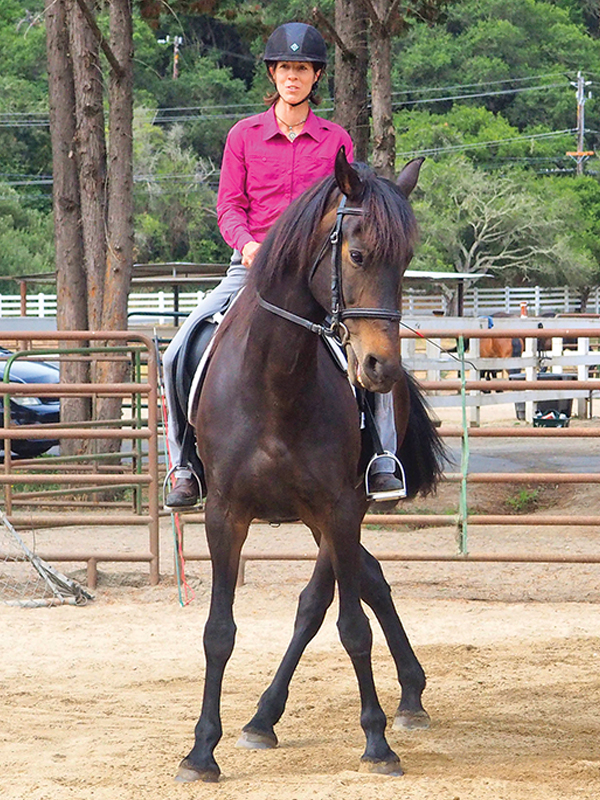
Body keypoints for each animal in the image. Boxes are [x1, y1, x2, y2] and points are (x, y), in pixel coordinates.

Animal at [176, 148, 444, 783]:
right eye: (358, 254)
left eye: (407, 262)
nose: (380, 367)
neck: (275, 380)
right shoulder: (225, 514)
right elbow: (218, 632)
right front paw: (201, 752)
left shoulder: (340, 508)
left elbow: (350, 628)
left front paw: (376, 742)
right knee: (367, 579)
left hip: (340, 514)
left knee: (323, 601)